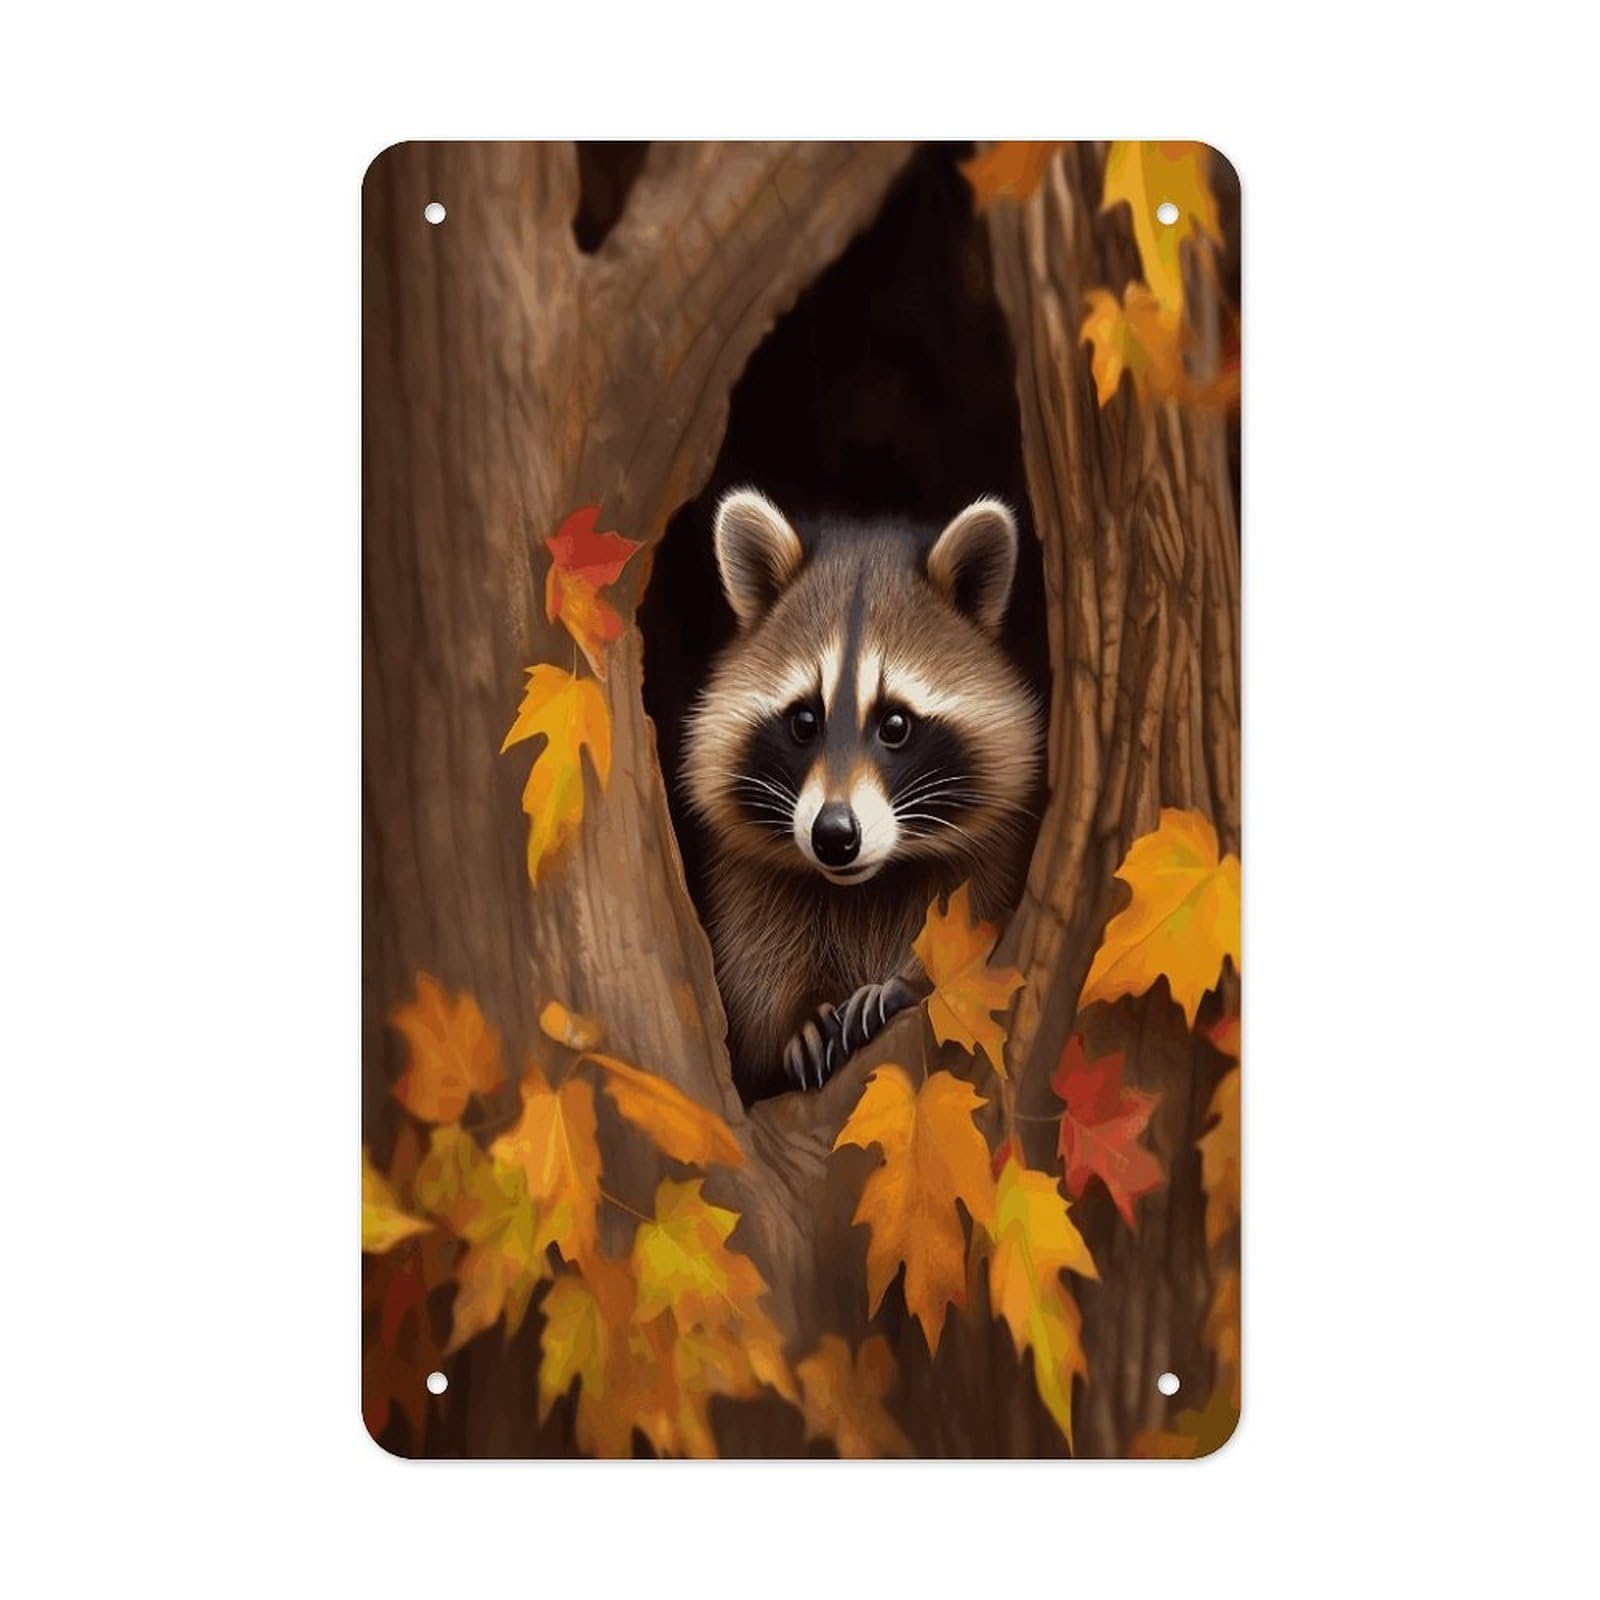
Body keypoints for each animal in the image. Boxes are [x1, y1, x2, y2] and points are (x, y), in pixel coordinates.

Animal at [682, 488, 1041, 1102]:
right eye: (804, 720)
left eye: (895, 724)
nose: (833, 835)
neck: (866, 885)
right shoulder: (747, 879)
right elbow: (754, 967)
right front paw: (795, 1017)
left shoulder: (997, 853)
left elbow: (976, 922)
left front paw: (909, 983)